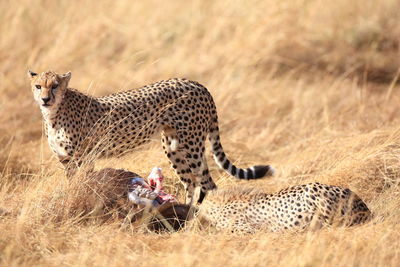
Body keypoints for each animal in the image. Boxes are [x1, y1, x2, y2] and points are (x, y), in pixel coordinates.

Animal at [28, 70, 276, 205]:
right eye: (38, 86)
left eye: (55, 86)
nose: (45, 99)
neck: (55, 113)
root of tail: (197, 83)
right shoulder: (67, 160)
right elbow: (73, 184)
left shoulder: (85, 157)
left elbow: (85, 184)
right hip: (174, 147)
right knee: (192, 181)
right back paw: (185, 212)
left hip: (191, 145)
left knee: (206, 182)